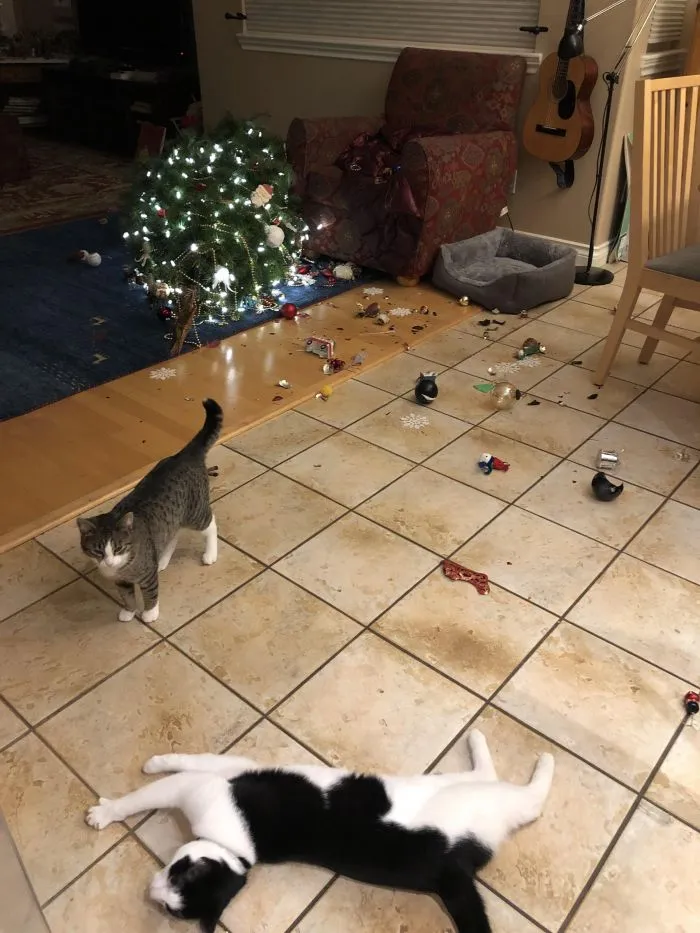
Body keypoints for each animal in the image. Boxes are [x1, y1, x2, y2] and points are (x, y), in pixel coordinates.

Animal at [77, 398, 223, 625]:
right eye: (98, 550)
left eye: (118, 548)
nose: (108, 562)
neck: (122, 567)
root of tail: (184, 454)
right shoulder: (122, 582)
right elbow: (127, 597)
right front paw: (128, 612)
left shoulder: (146, 577)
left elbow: (150, 594)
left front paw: (149, 614)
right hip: (173, 517)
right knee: (173, 534)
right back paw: (161, 560)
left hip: (195, 512)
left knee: (210, 523)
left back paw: (210, 554)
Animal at [85, 731, 554, 933]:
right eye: (167, 908)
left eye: (177, 876)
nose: (151, 892)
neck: (237, 852)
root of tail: (453, 867)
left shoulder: (211, 780)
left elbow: (169, 775)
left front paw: (110, 807)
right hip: (464, 790)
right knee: (492, 776)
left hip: (489, 801)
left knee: (530, 798)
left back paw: (541, 760)